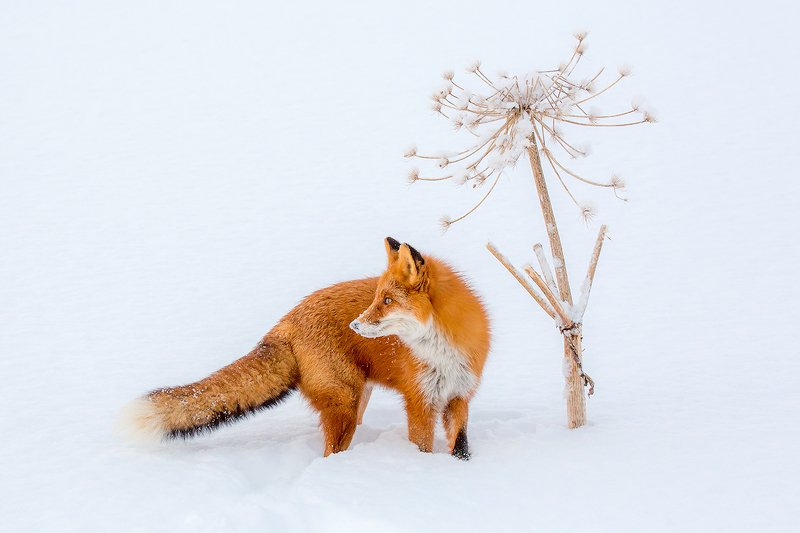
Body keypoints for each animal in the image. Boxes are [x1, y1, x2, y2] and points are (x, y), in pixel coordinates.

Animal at [118, 237, 490, 459]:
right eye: (376, 298)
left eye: (387, 301)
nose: (355, 326)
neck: (442, 351)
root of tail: (288, 319)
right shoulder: (419, 402)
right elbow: (423, 447)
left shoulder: (459, 397)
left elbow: (460, 445)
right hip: (345, 404)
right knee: (330, 453)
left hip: (356, 400)